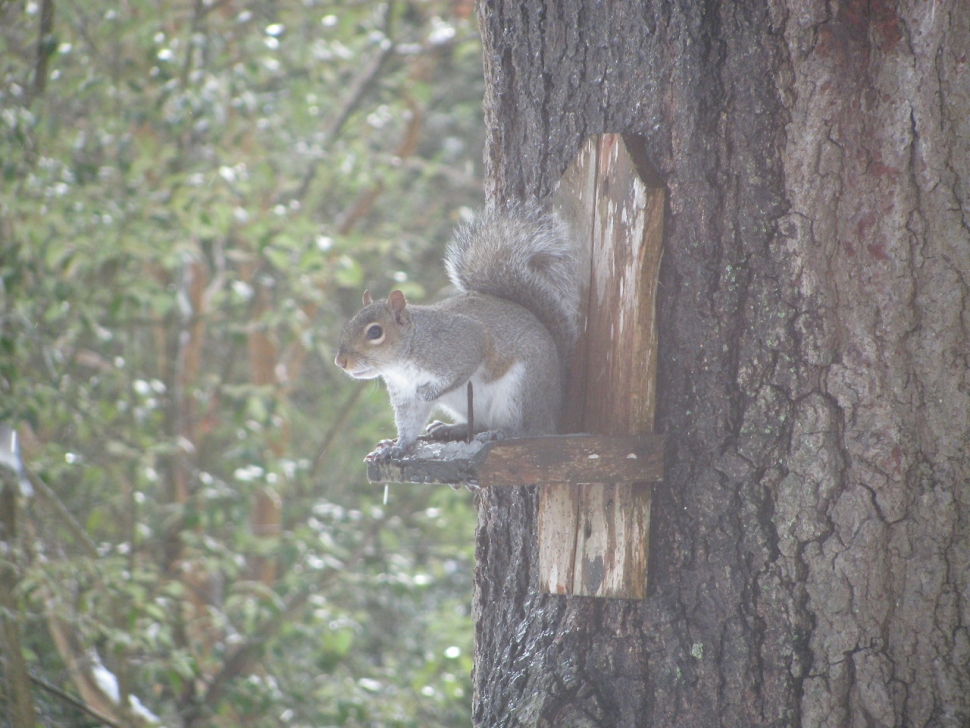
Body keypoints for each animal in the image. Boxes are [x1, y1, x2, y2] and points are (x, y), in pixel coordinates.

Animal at [334, 202, 576, 458]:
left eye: (375, 333)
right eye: (348, 326)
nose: (341, 362)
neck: (404, 362)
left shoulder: (463, 343)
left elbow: (461, 368)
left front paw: (428, 393)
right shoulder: (404, 394)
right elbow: (409, 424)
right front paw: (397, 447)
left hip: (520, 392)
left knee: (525, 429)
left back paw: (500, 433)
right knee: (479, 424)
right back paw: (451, 428)